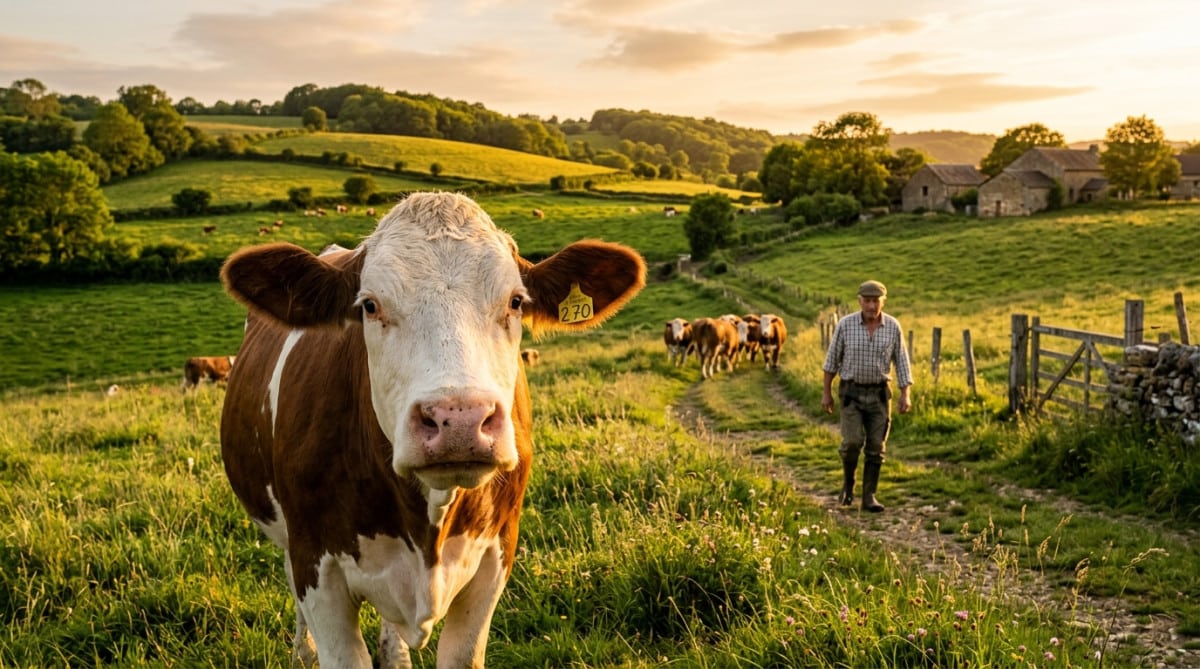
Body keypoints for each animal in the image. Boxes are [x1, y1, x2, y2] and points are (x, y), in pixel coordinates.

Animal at [218, 192, 646, 668]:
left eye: (516, 301)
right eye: (369, 305)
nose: (458, 419)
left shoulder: (495, 559)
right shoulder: (316, 565)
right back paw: (303, 651)